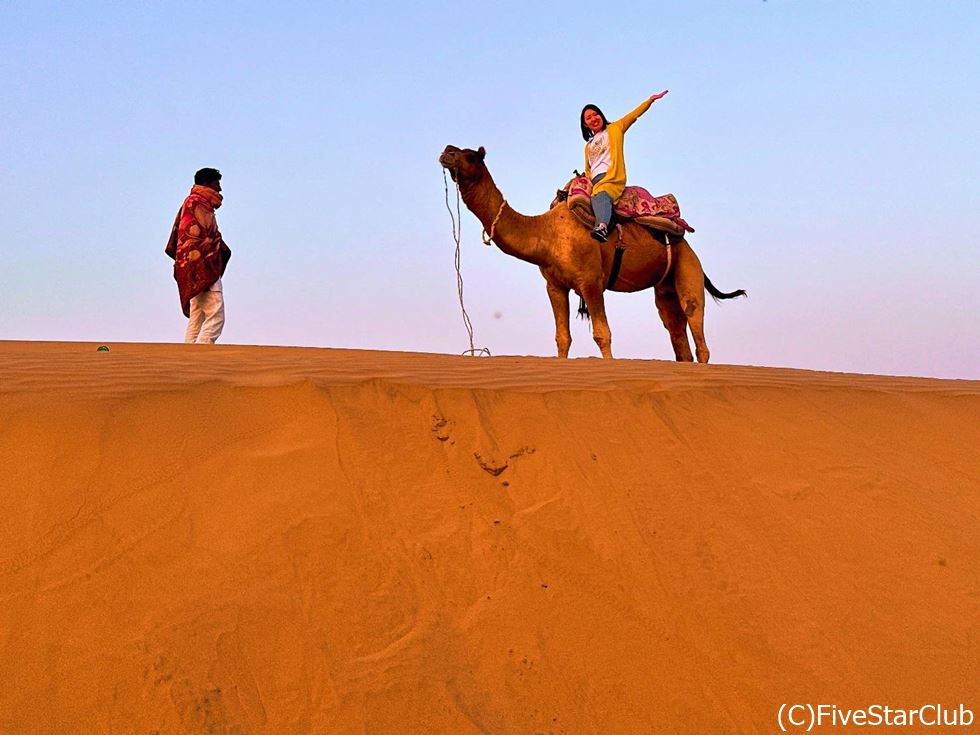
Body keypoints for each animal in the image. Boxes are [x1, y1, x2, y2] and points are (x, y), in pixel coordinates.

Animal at [436, 144, 744, 362]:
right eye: (454, 150)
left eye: (470, 156)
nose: (446, 152)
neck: (547, 233)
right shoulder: (555, 286)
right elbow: (562, 338)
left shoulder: (591, 282)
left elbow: (602, 335)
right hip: (665, 286)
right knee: (677, 334)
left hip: (688, 266)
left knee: (695, 320)